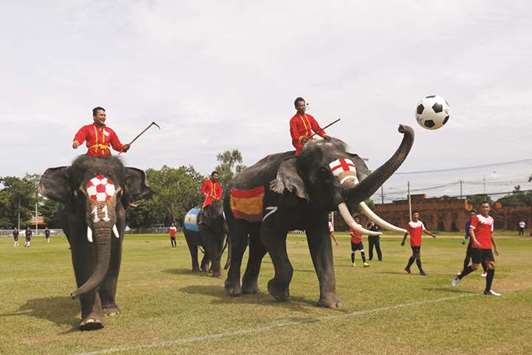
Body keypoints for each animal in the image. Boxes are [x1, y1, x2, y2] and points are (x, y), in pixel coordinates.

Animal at [38, 156, 151, 330]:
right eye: (80, 194)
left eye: (119, 193)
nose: (72, 294)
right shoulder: (74, 218)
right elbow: (82, 255)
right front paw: (91, 322)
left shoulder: (121, 217)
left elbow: (115, 253)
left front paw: (111, 312)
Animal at [222, 125, 414, 308]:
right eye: (323, 173)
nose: (402, 127)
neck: (299, 157)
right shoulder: (279, 198)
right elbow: (270, 233)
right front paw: (277, 292)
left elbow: (321, 243)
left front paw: (331, 305)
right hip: (230, 205)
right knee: (240, 242)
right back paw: (233, 292)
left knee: (258, 245)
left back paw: (251, 290)